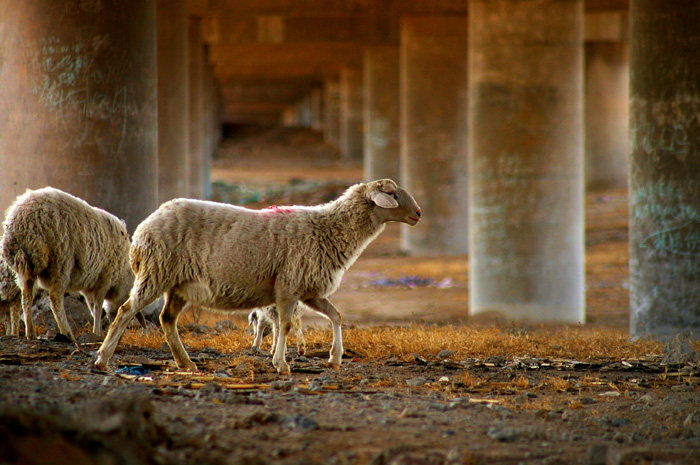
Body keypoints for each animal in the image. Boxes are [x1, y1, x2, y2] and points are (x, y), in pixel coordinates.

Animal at [1, 186, 137, 340]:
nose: (120, 337)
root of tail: (22, 224)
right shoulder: (105, 278)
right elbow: (97, 307)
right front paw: (98, 332)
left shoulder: (89, 286)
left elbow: (93, 308)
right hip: (60, 260)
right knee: (55, 298)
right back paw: (67, 333)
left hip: (25, 267)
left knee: (26, 297)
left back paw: (31, 333)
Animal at [94, 178, 422, 374]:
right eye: (391, 194)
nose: (418, 214)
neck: (327, 229)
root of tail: (144, 227)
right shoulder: (289, 286)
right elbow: (286, 325)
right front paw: (281, 364)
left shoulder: (309, 290)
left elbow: (336, 316)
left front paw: (335, 357)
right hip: (156, 272)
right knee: (126, 311)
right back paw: (102, 359)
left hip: (179, 284)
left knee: (167, 319)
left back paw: (186, 363)